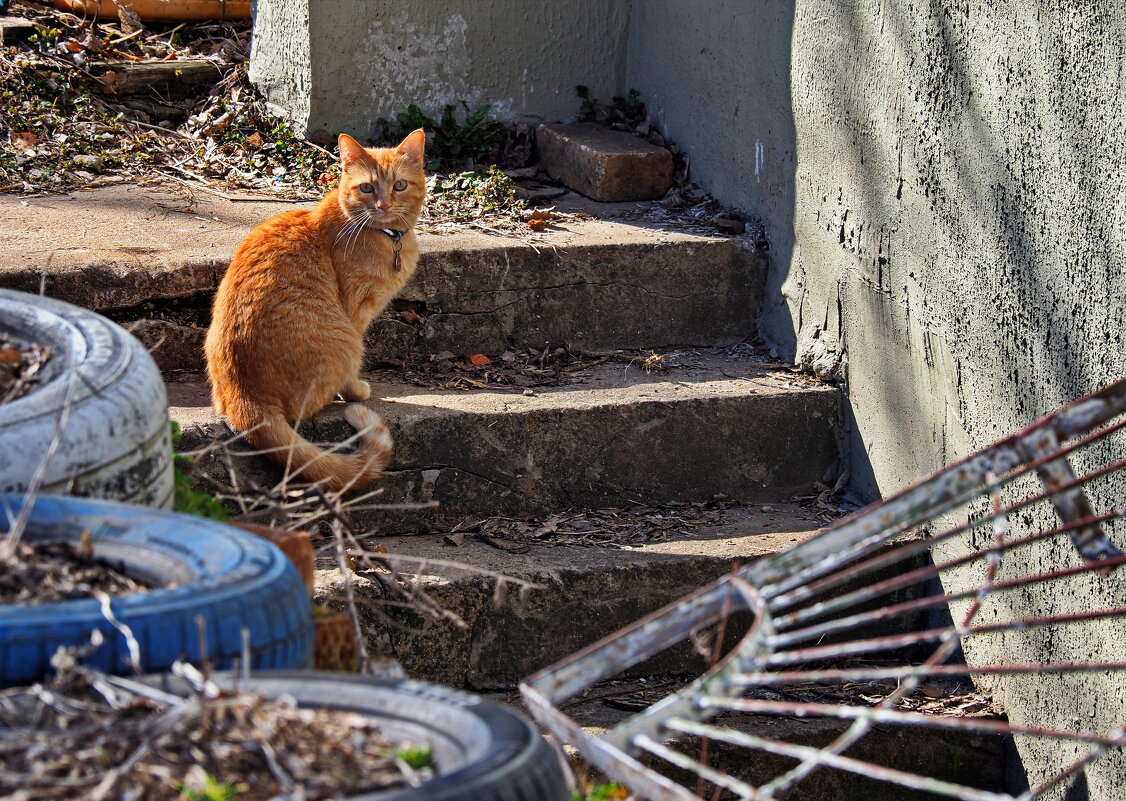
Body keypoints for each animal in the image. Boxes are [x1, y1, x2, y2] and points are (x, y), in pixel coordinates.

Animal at [202, 128, 425, 491]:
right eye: (367, 188)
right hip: (346, 339)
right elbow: (352, 377)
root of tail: (247, 398)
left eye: (400, 185)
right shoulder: (355, 312)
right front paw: (355, 390)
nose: (383, 204)